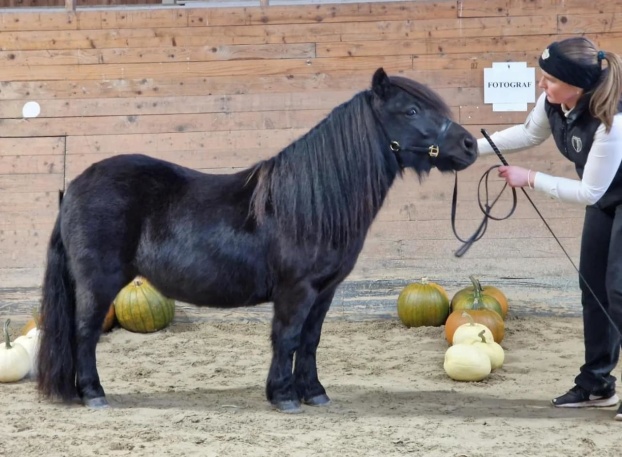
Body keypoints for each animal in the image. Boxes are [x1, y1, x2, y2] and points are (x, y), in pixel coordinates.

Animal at [36, 68, 480, 414]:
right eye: (411, 110)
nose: (470, 145)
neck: (311, 201)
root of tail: (73, 186)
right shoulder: (296, 290)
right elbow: (287, 337)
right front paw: (283, 396)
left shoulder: (324, 292)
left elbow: (311, 340)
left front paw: (314, 393)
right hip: (99, 283)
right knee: (85, 333)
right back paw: (93, 394)